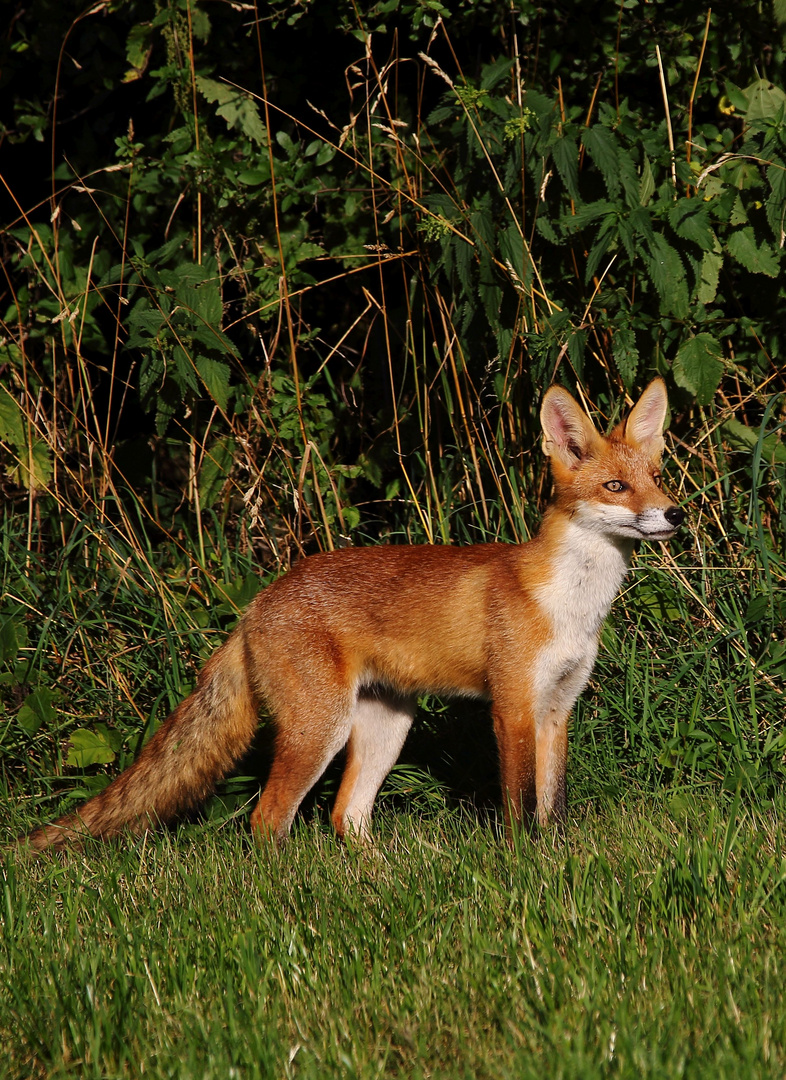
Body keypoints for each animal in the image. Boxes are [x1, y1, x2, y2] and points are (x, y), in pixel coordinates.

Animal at [24, 380, 686, 851]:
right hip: (322, 728)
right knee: (268, 822)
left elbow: (554, 806)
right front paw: (523, 863)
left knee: (347, 817)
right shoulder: (514, 706)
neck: (571, 604)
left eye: (657, 478)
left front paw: (553, 859)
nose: (675, 513)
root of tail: (260, 602)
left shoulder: (558, 706)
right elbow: (521, 806)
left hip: (387, 725)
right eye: (615, 486)